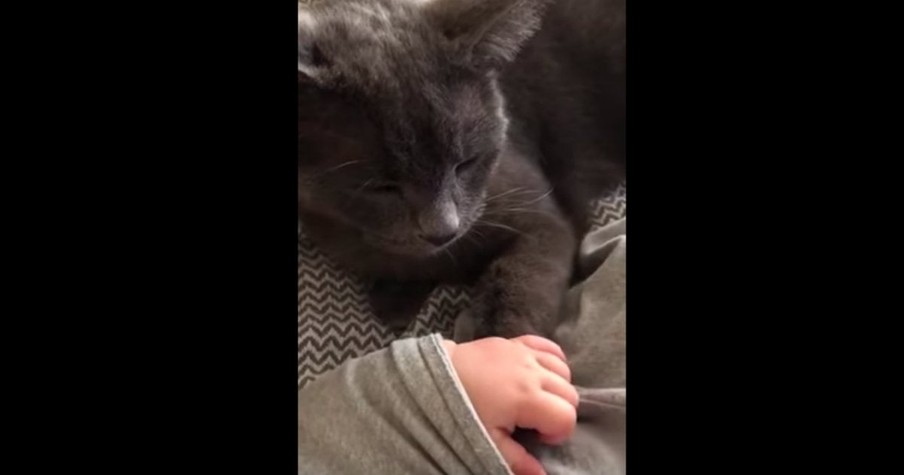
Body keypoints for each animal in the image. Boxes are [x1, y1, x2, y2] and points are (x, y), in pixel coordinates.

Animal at [300, 0, 624, 340]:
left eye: (466, 163)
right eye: (382, 187)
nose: (443, 230)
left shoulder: (539, 214)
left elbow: (523, 277)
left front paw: (503, 340)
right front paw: (397, 292)